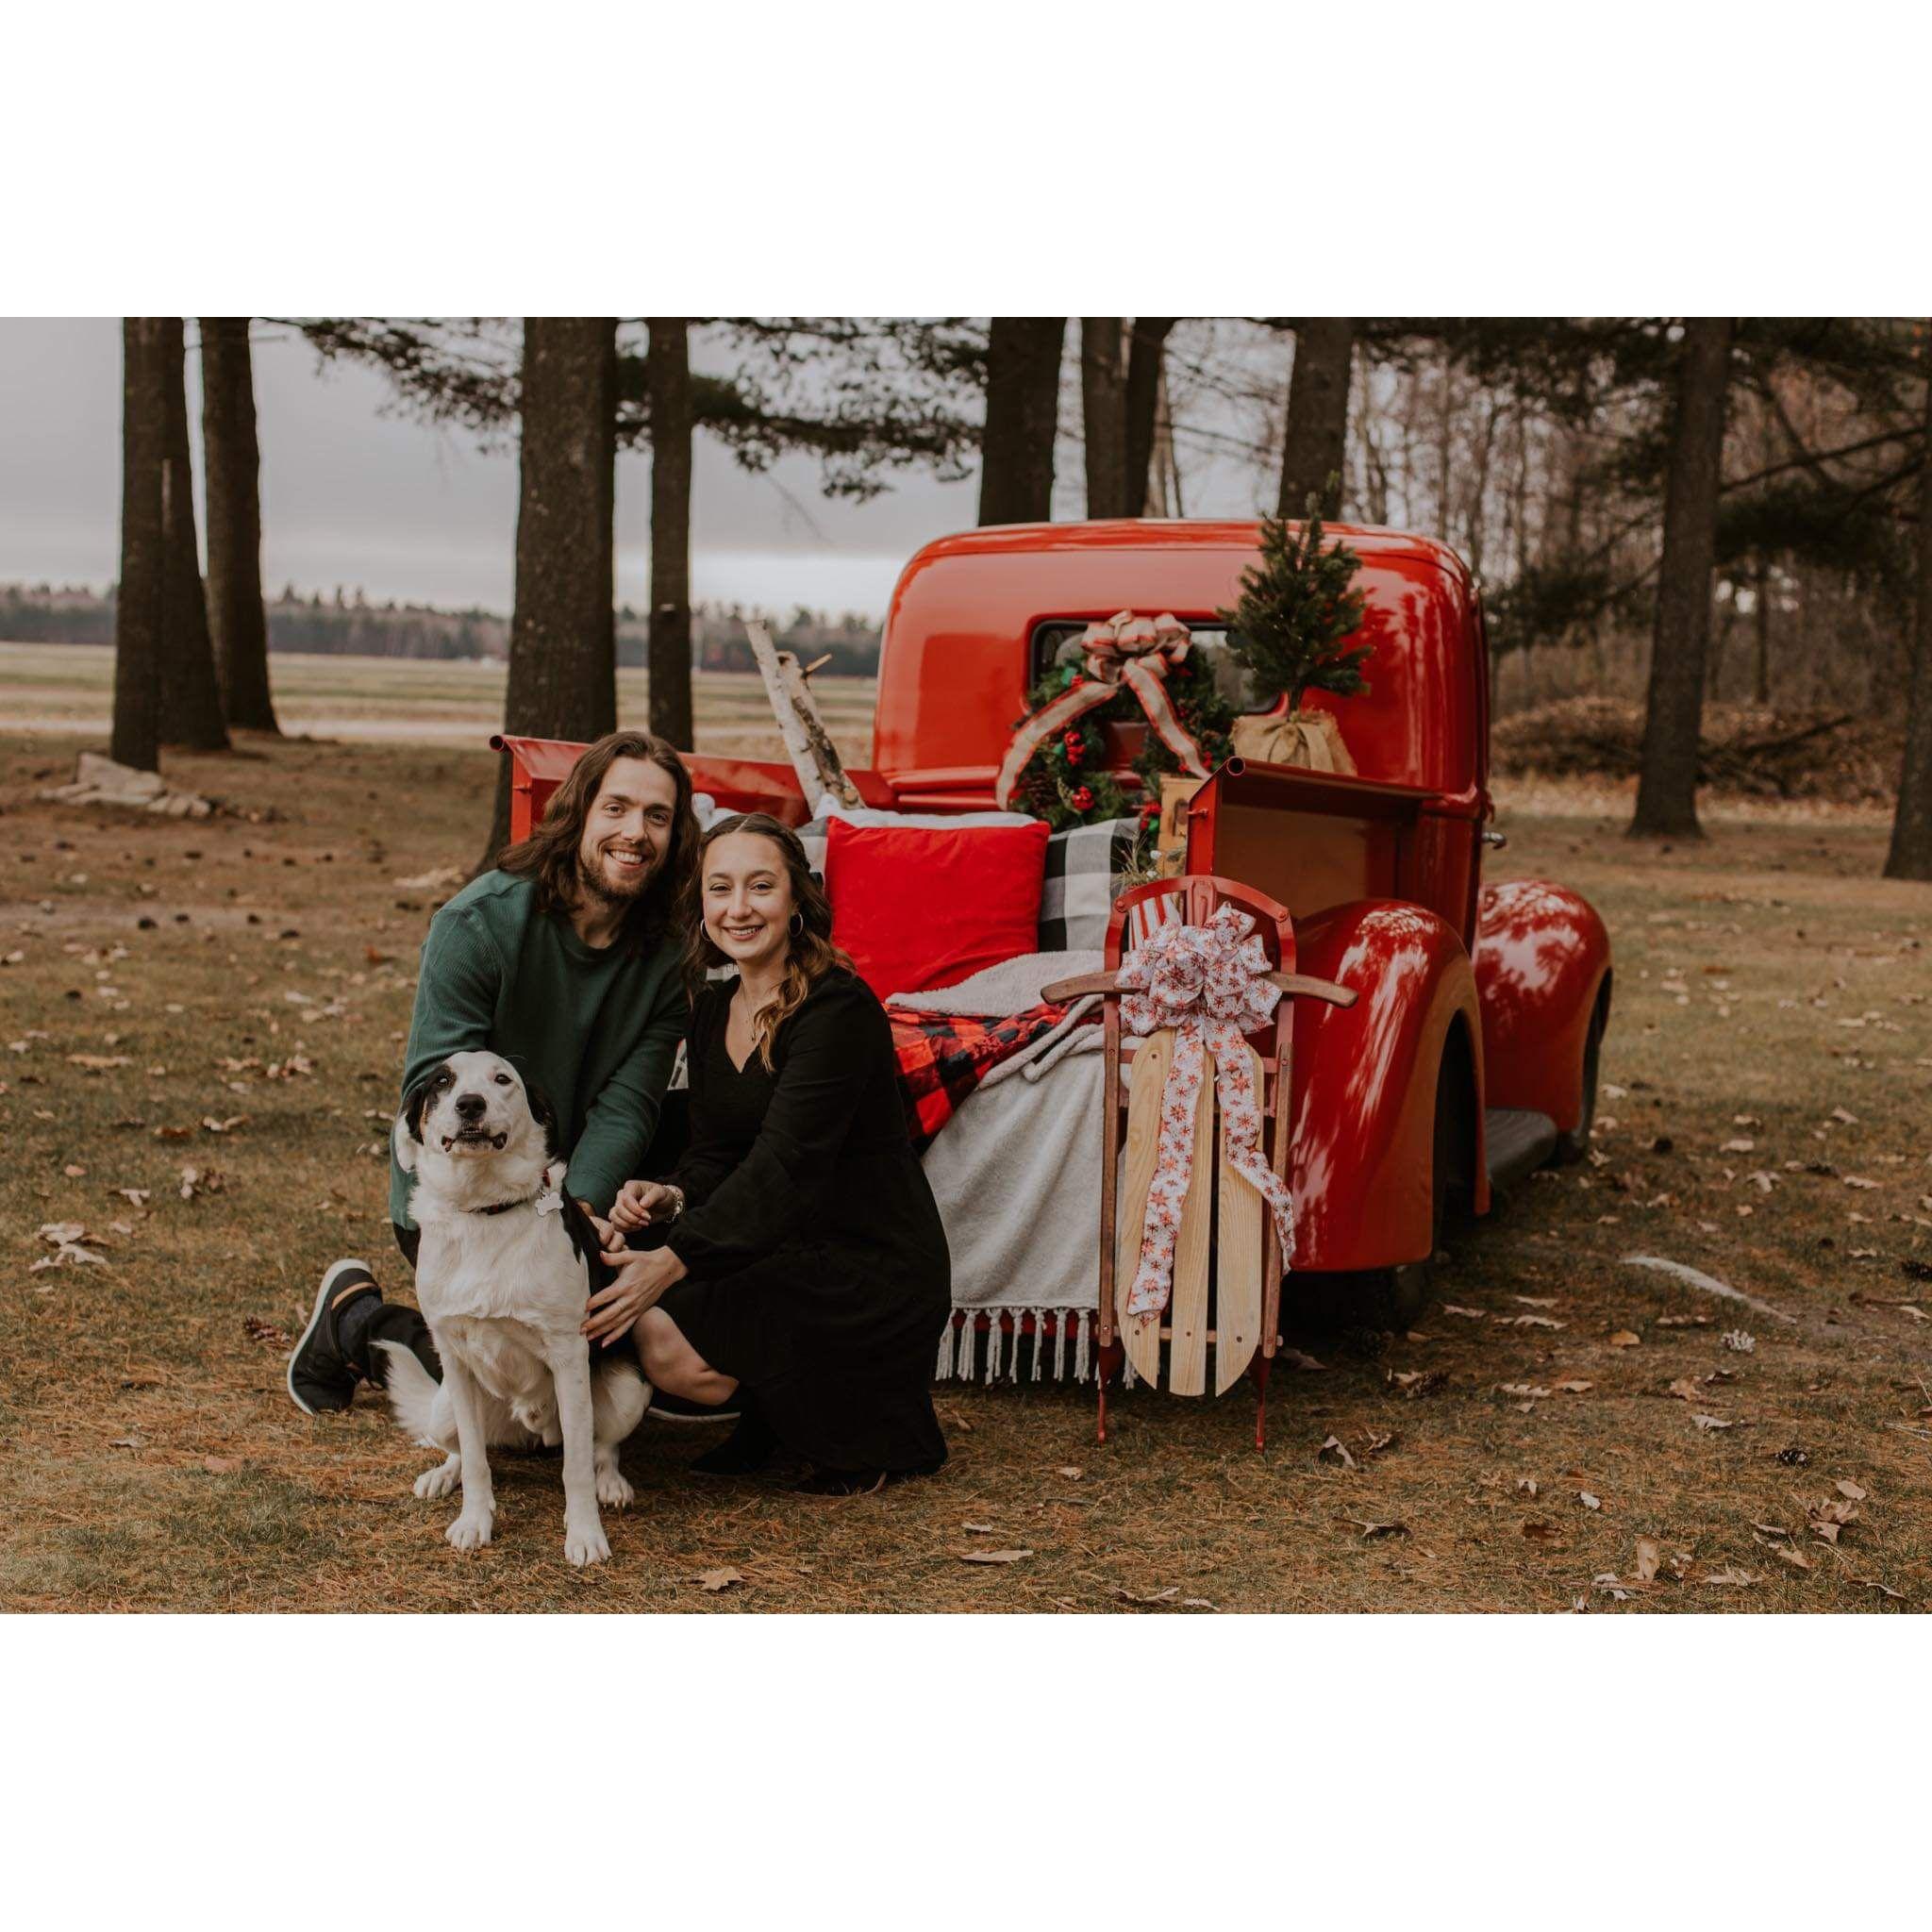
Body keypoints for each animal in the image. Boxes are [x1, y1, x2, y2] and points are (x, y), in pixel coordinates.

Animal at [383, 1049, 650, 1566]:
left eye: (503, 1079)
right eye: (442, 1082)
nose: (469, 1104)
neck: (483, 1211)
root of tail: (530, 1428)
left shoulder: (569, 1355)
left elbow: (576, 1468)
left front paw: (585, 1534)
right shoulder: (453, 1358)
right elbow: (476, 1461)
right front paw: (475, 1521)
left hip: (629, 1389)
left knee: (602, 1447)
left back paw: (610, 1482)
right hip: (445, 1409)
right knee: (464, 1450)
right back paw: (443, 1474)